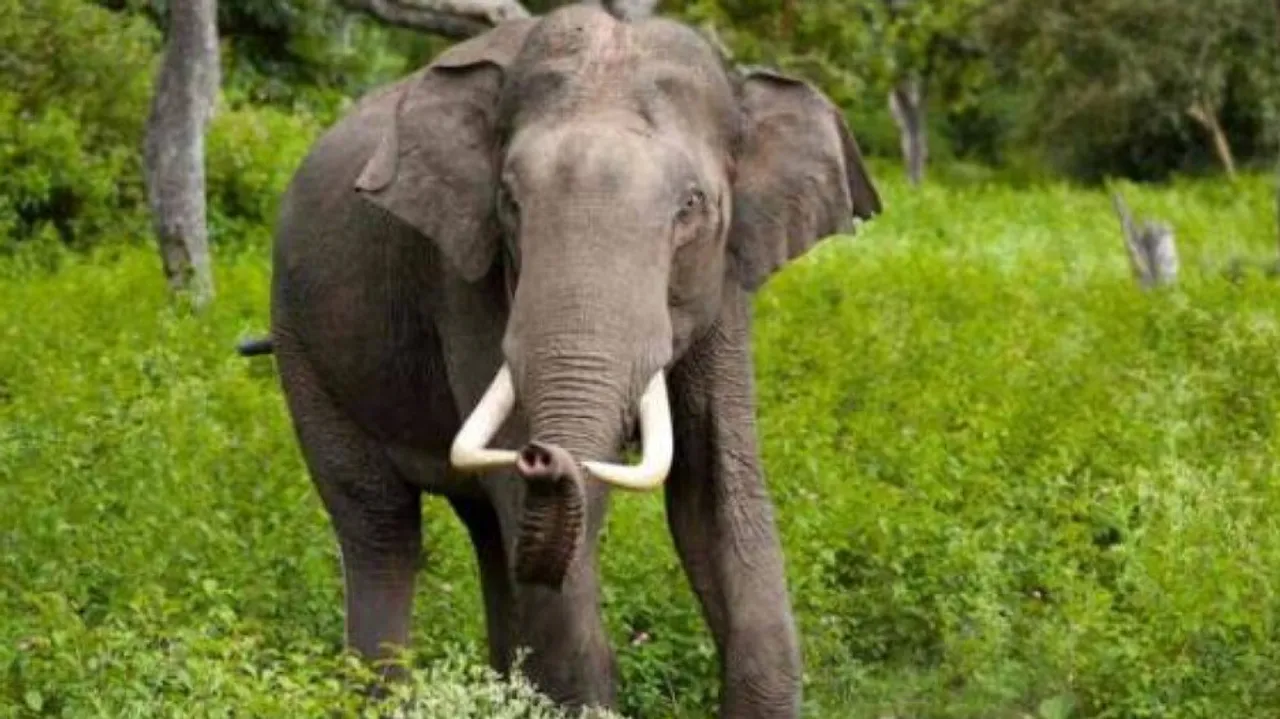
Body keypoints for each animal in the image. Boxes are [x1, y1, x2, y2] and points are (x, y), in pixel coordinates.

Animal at [248, 5, 880, 716]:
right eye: (510, 201)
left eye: (692, 206)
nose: (542, 456)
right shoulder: (463, 275)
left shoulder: (726, 283)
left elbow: (717, 495)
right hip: (302, 344)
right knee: (381, 526)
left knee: (488, 533)